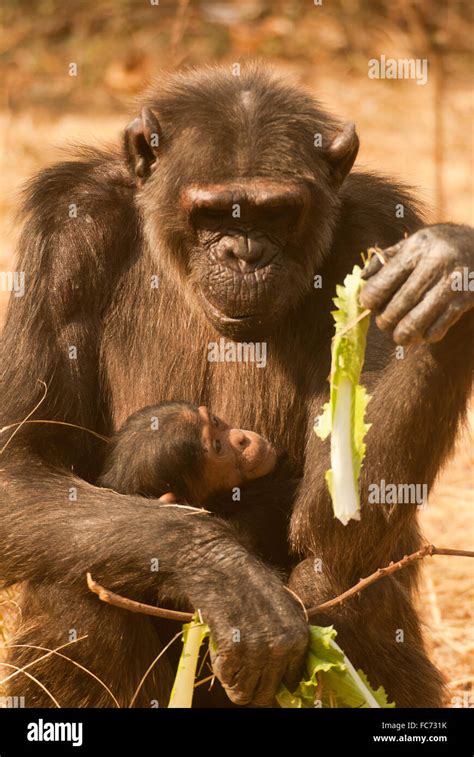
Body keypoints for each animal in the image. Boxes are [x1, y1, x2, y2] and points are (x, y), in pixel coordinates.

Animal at [0, 66, 474, 708]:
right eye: (212, 214)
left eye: (273, 214)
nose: (244, 252)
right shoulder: (67, 234)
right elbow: (19, 464)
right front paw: (219, 570)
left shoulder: (379, 227)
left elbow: (340, 505)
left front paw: (446, 270)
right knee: (73, 581)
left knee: (338, 575)